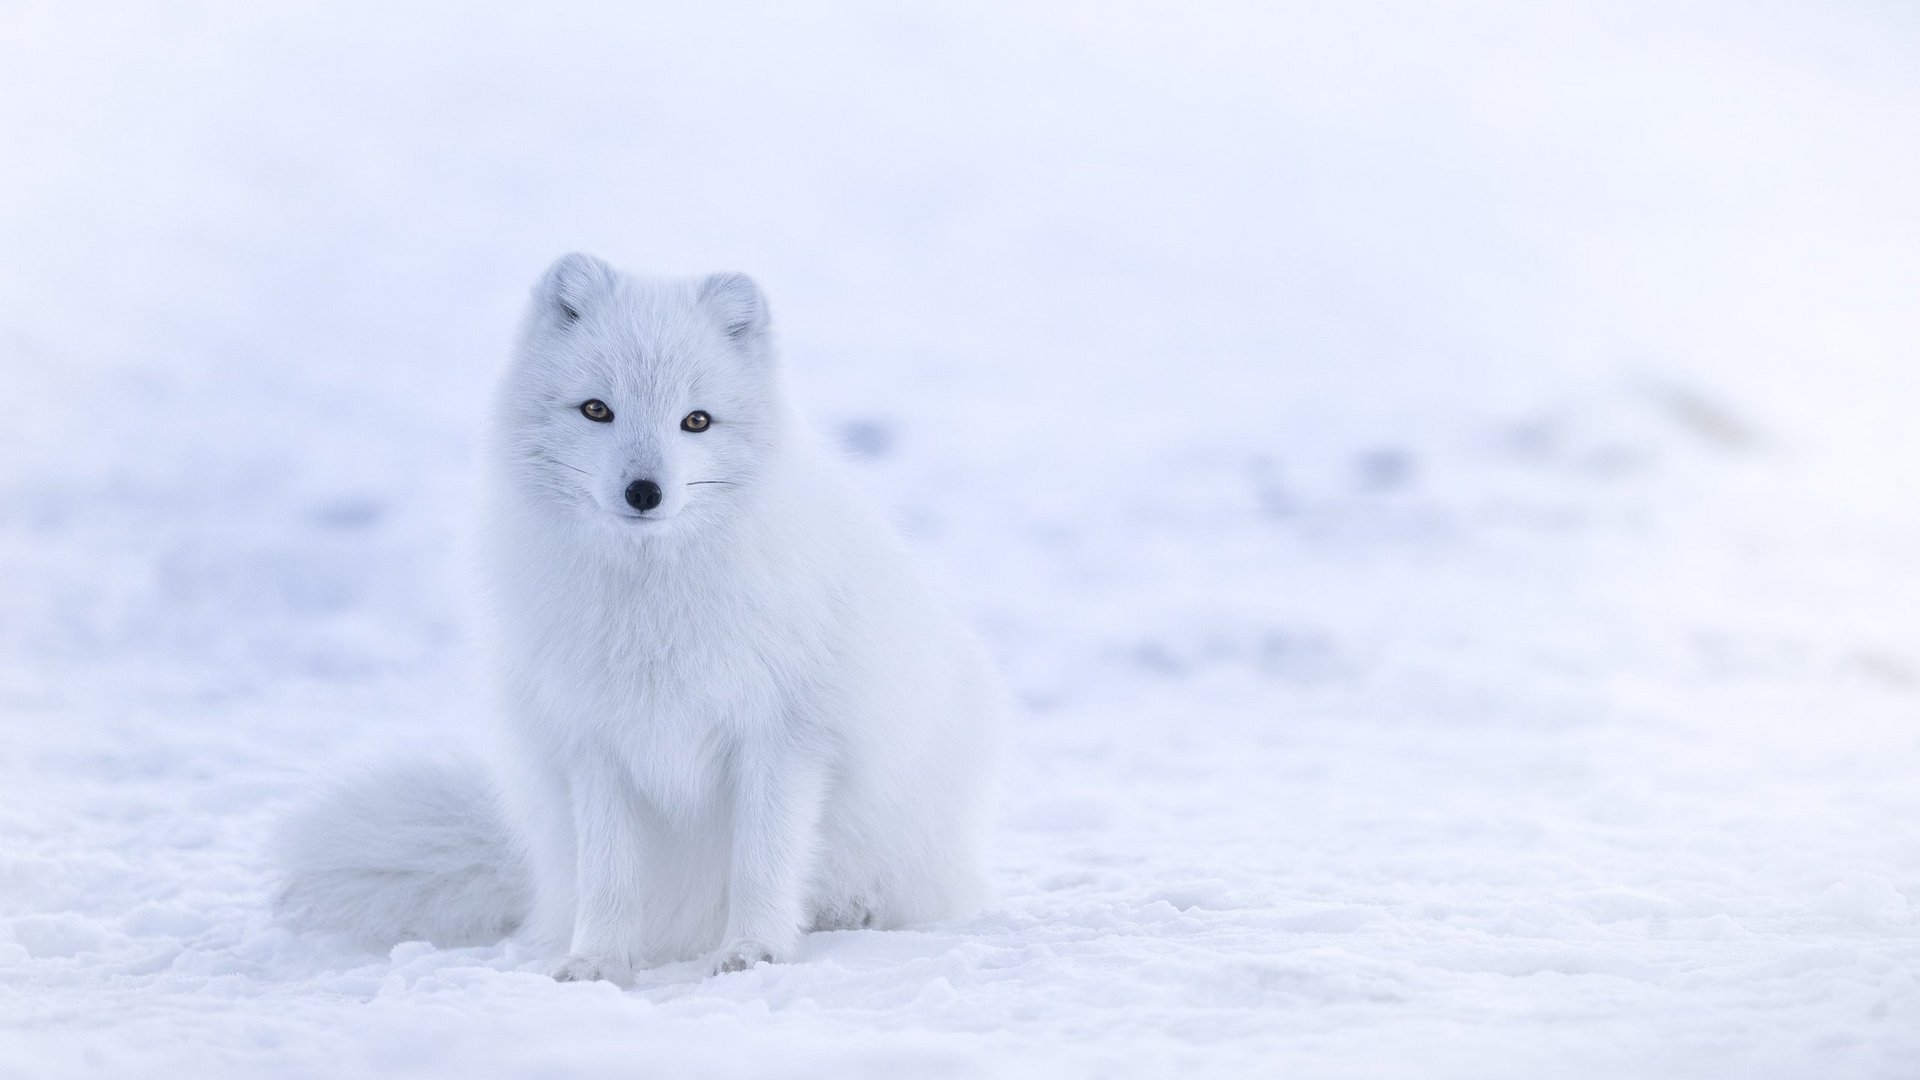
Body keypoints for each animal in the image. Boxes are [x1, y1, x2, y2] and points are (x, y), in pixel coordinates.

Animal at [288, 255, 1006, 980]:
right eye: (597, 409)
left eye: (697, 421)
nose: (644, 491)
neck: (651, 603)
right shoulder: (595, 741)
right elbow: (608, 875)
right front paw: (597, 962)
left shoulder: (783, 735)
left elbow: (762, 861)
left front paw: (752, 951)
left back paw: (850, 911)